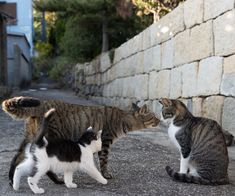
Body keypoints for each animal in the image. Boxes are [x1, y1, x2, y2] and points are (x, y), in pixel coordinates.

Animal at [2, 96, 160, 185]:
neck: (123, 119)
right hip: (52, 138)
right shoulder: (105, 141)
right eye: (154, 116)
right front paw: (105, 175)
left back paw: (11, 179)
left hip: (30, 137)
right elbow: (103, 161)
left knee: (16, 157)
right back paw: (57, 180)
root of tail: (42, 105)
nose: (160, 120)